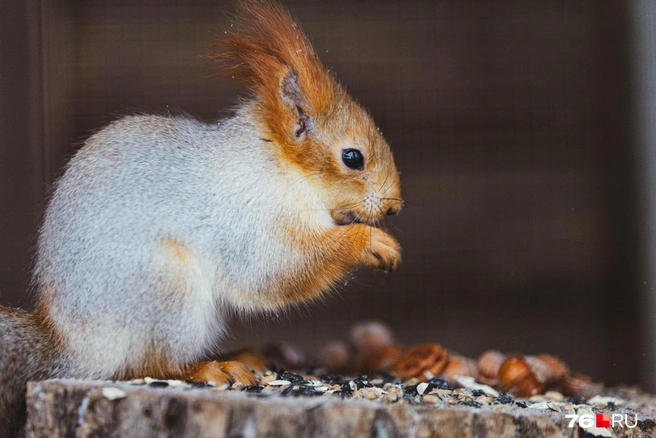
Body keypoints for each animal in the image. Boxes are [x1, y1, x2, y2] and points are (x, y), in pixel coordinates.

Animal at [0, 0, 402, 435]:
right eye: (352, 157)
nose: (394, 206)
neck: (281, 166)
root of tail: (70, 345)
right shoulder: (246, 217)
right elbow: (273, 270)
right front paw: (370, 242)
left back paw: (245, 355)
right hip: (166, 288)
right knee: (147, 365)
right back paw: (211, 368)